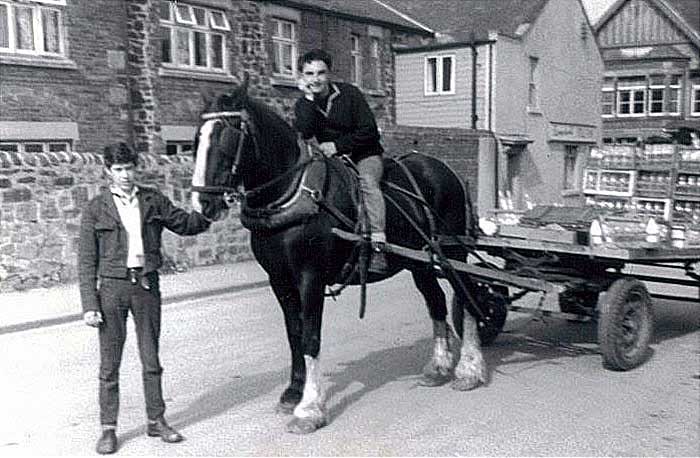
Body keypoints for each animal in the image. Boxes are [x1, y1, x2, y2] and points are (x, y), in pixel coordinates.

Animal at [190, 80, 486, 434]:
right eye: (195, 140)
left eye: (227, 137)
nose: (202, 204)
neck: (293, 193)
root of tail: (445, 171)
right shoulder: (280, 279)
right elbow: (294, 334)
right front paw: (293, 392)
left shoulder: (311, 277)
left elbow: (311, 337)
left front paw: (309, 408)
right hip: (419, 261)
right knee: (437, 302)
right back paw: (438, 365)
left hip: (453, 251)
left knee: (467, 299)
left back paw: (469, 369)